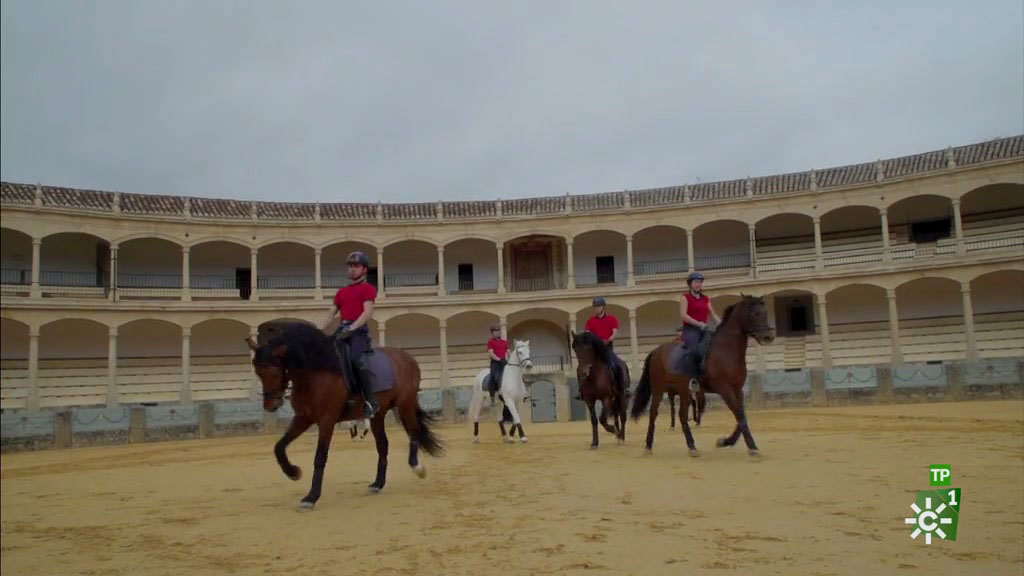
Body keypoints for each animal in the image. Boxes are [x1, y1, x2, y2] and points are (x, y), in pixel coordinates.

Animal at [247, 317, 444, 506]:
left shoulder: (327, 420)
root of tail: (407, 357)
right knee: (383, 445)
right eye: (258, 372)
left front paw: (311, 497)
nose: (270, 405)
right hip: (378, 415)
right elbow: (279, 447)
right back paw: (378, 483)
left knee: (414, 433)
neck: (315, 371)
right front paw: (293, 472)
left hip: (405, 405)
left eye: (274, 372)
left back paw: (417, 468)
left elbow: (320, 457)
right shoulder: (303, 417)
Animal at [626, 293, 770, 455]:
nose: (768, 337)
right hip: (658, 390)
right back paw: (648, 446)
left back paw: (692, 447)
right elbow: (739, 415)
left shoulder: (737, 389)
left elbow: (741, 415)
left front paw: (725, 442)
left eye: (765, 313)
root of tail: (657, 351)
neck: (727, 350)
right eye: (755, 314)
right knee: (653, 414)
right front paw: (751, 447)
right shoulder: (724, 388)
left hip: (684, 391)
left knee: (682, 416)